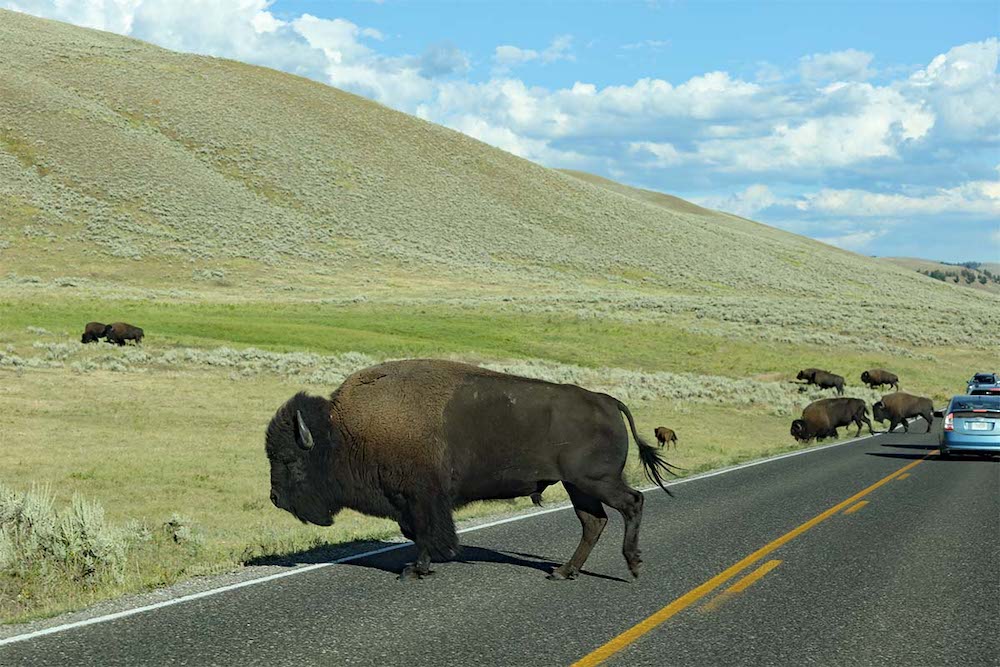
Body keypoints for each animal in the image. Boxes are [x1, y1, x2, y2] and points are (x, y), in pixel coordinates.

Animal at [264, 358, 680, 580]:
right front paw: (424, 565)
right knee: (594, 522)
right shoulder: (409, 501)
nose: (274, 498)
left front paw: (416, 569)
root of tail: (608, 400)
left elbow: (426, 532)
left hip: (595, 481)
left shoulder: (421, 498)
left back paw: (633, 565)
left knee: (631, 503)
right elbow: (416, 532)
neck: (344, 431)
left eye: (289, 459)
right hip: (578, 486)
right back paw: (562, 571)